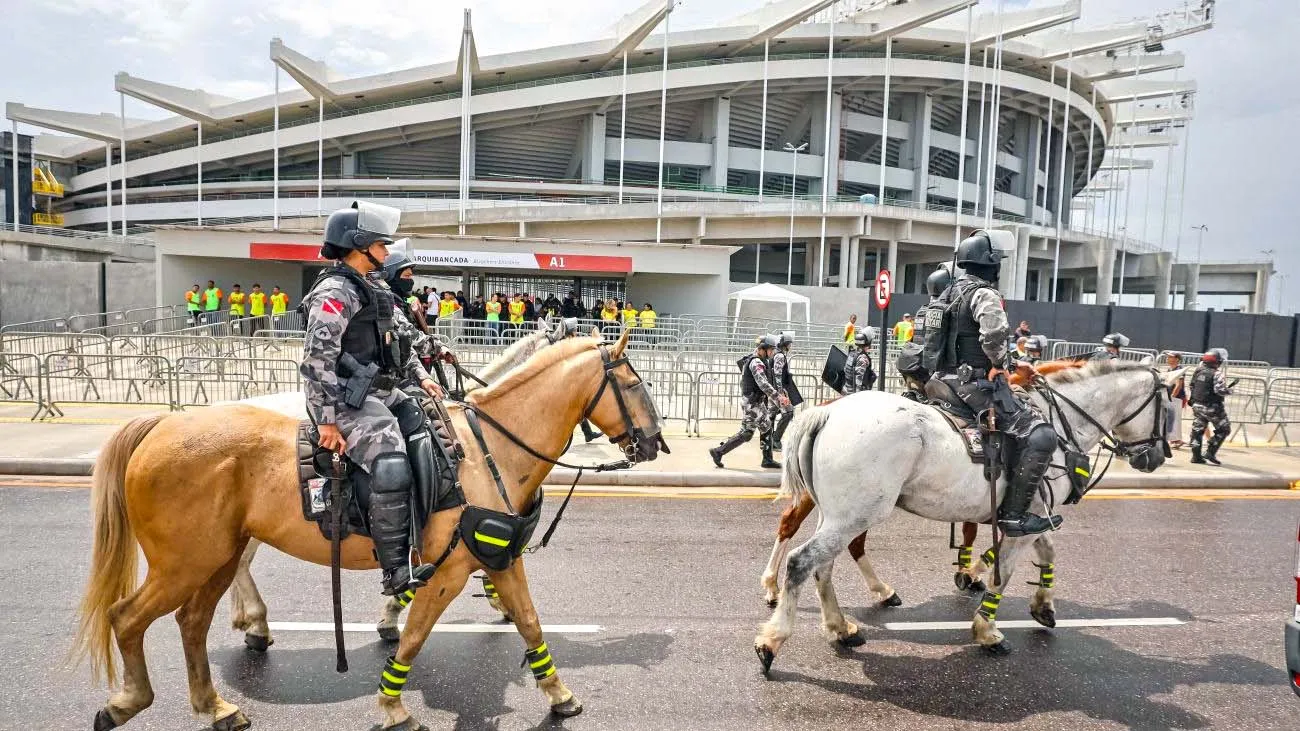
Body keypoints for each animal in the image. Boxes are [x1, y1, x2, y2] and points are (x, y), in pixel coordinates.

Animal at [71, 330, 660, 728]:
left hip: (214, 556)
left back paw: (216, 701)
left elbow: (533, 626)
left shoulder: (501, 558)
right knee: (126, 618)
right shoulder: (445, 573)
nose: (654, 442)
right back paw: (131, 699)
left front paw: (559, 694)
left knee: (192, 622)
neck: (487, 449)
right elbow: (416, 636)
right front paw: (391, 702)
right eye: (635, 383)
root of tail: (162, 424)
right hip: (185, 562)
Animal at [754, 356, 1086, 603]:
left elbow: (1026, 543)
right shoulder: (1020, 511)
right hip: (861, 508)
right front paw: (973, 578)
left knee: (801, 529)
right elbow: (989, 543)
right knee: (833, 542)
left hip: (838, 505)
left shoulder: (1016, 512)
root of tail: (827, 411)